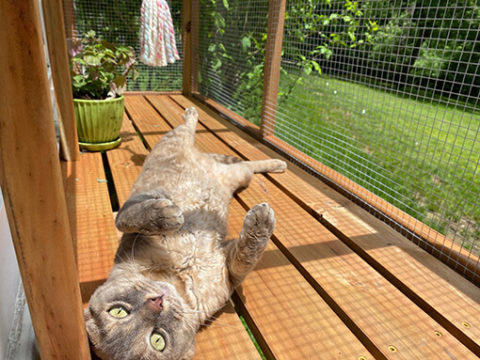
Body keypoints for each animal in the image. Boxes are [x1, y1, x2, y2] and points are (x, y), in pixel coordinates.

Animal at [85, 107, 286, 360]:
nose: (157, 302)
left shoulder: (134, 211)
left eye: (118, 311)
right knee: (243, 164)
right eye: (157, 340)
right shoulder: (228, 271)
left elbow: (126, 218)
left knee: (195, 134)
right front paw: (261, 220)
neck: (178, 276)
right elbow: (247, 255)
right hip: (237, 174)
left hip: (186, 147)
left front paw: (166, 216)